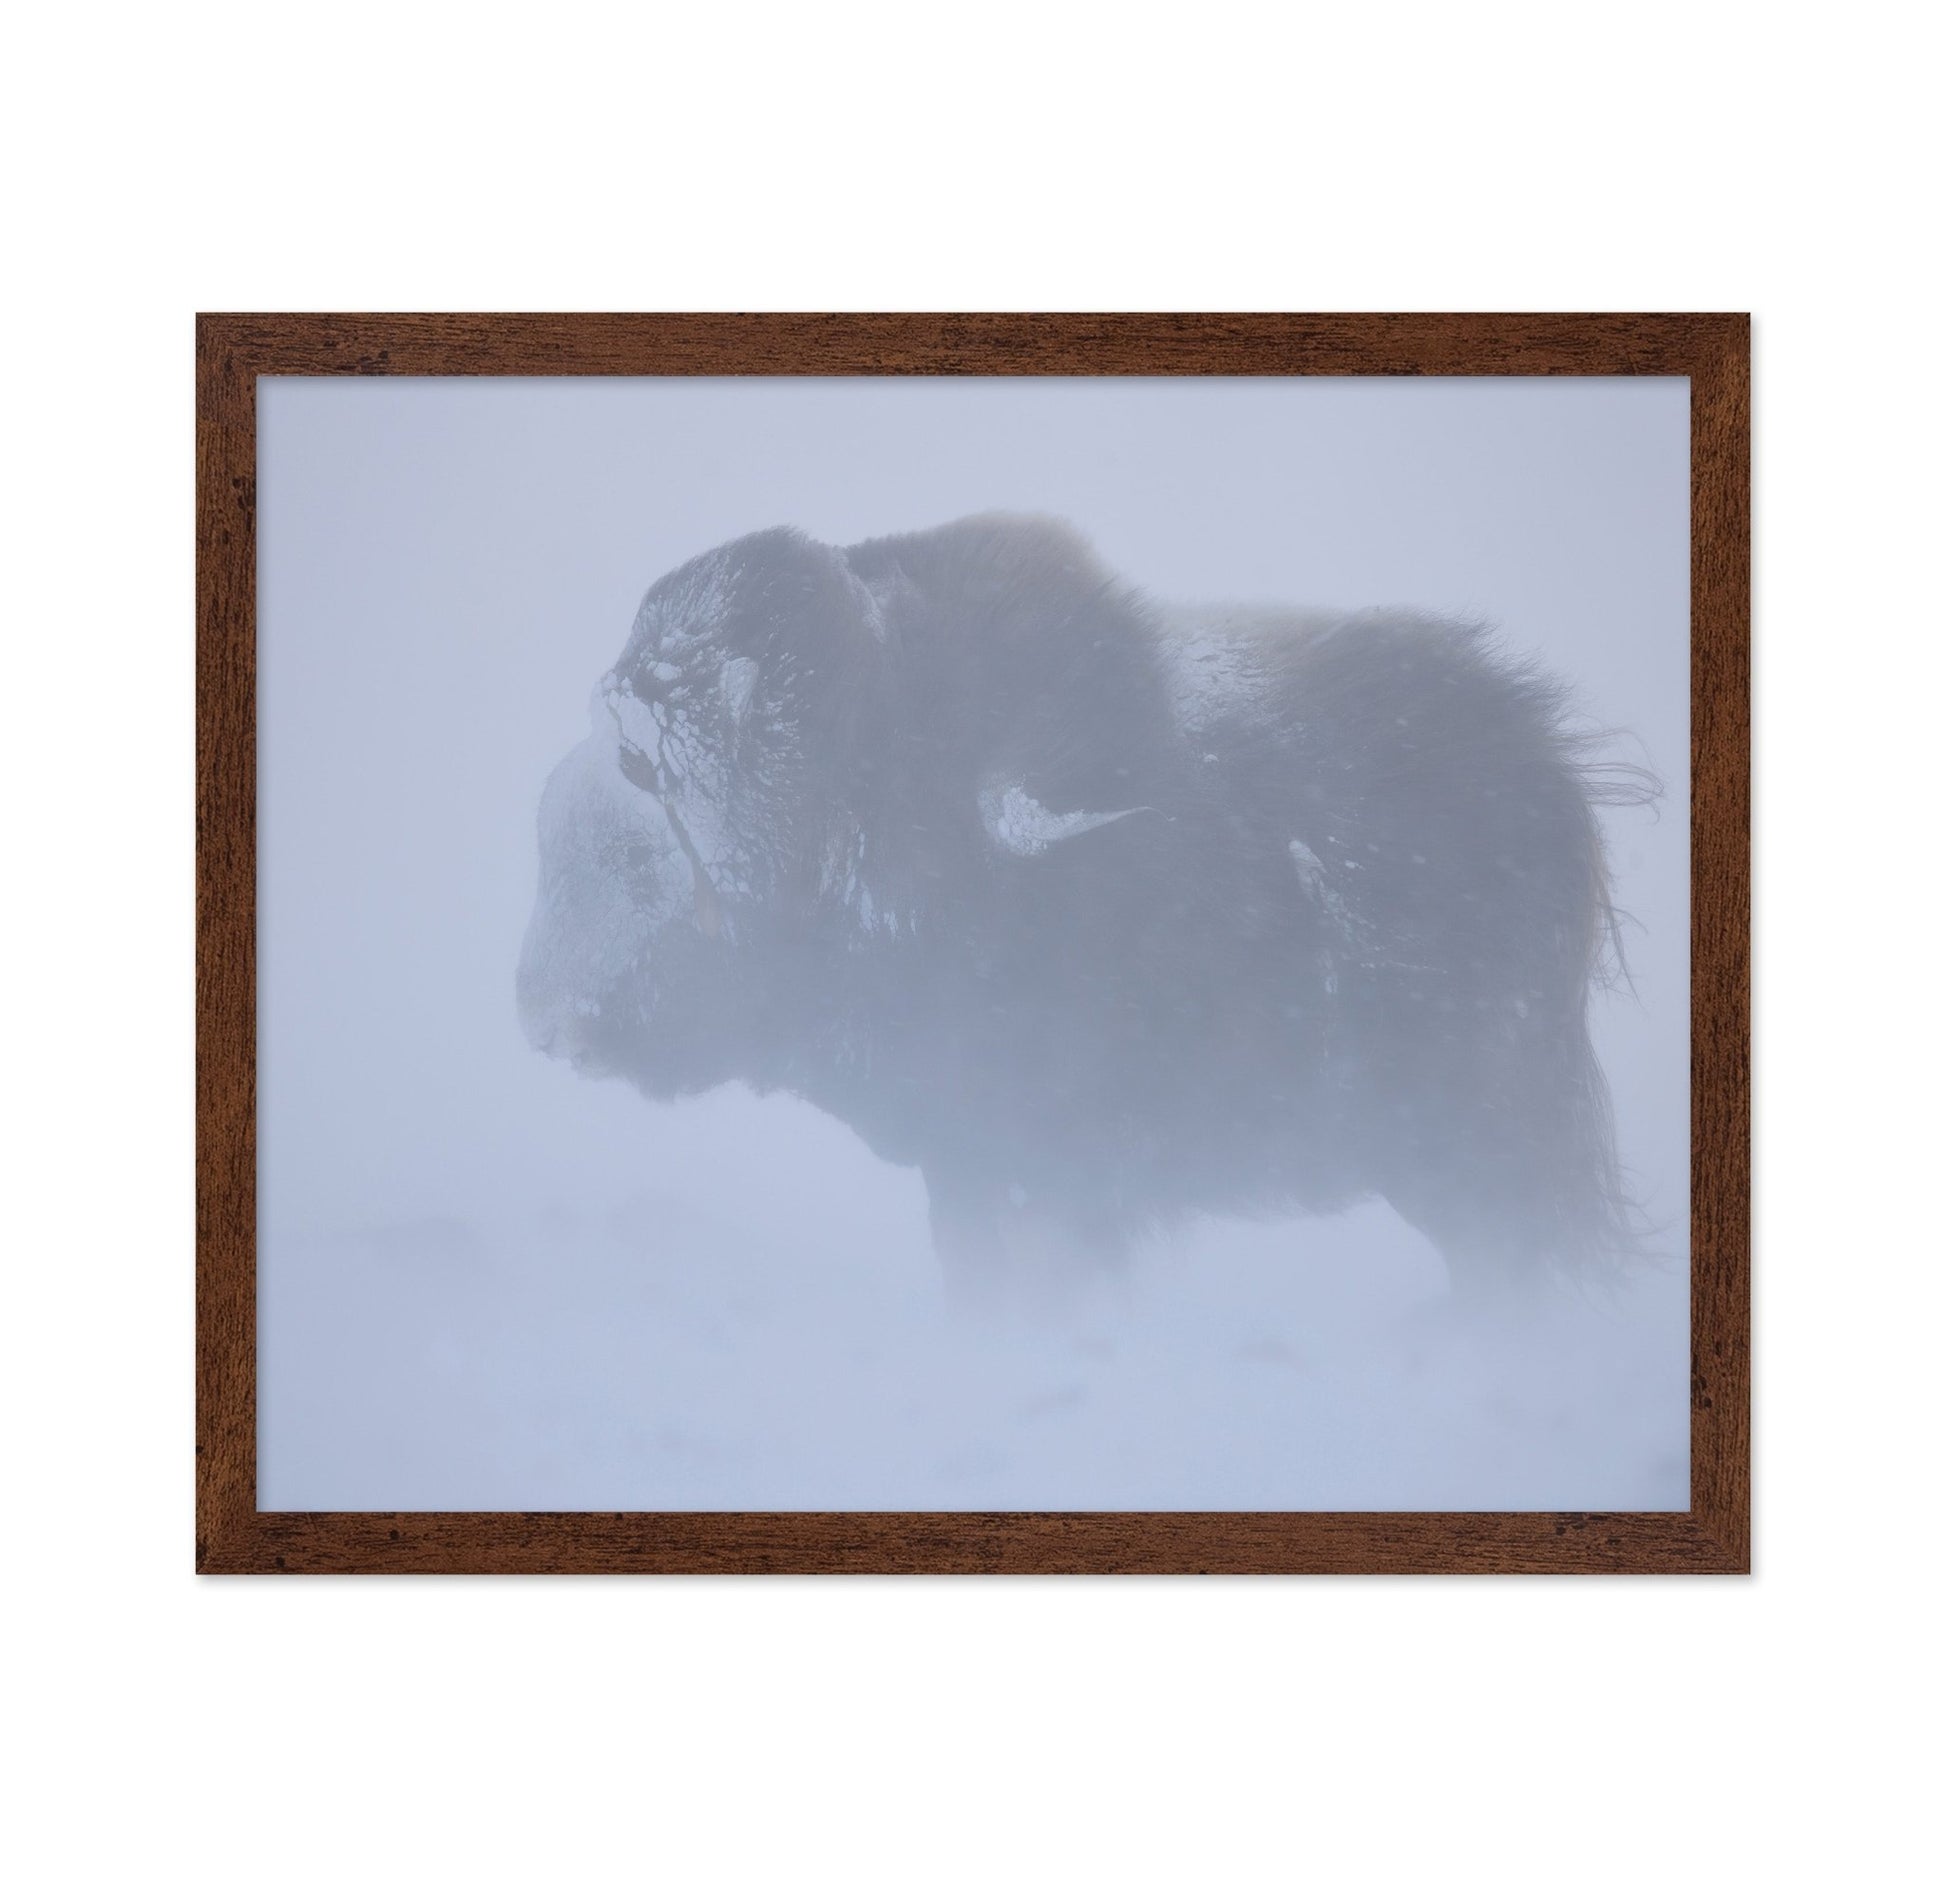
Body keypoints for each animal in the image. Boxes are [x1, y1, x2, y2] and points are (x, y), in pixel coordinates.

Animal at [517, 515, 1650, 1299]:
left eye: (644, 772)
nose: (538, 1005)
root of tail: (1549, 773)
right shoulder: (970, 1167)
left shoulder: (1041, 1171)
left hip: (1484, 1146)